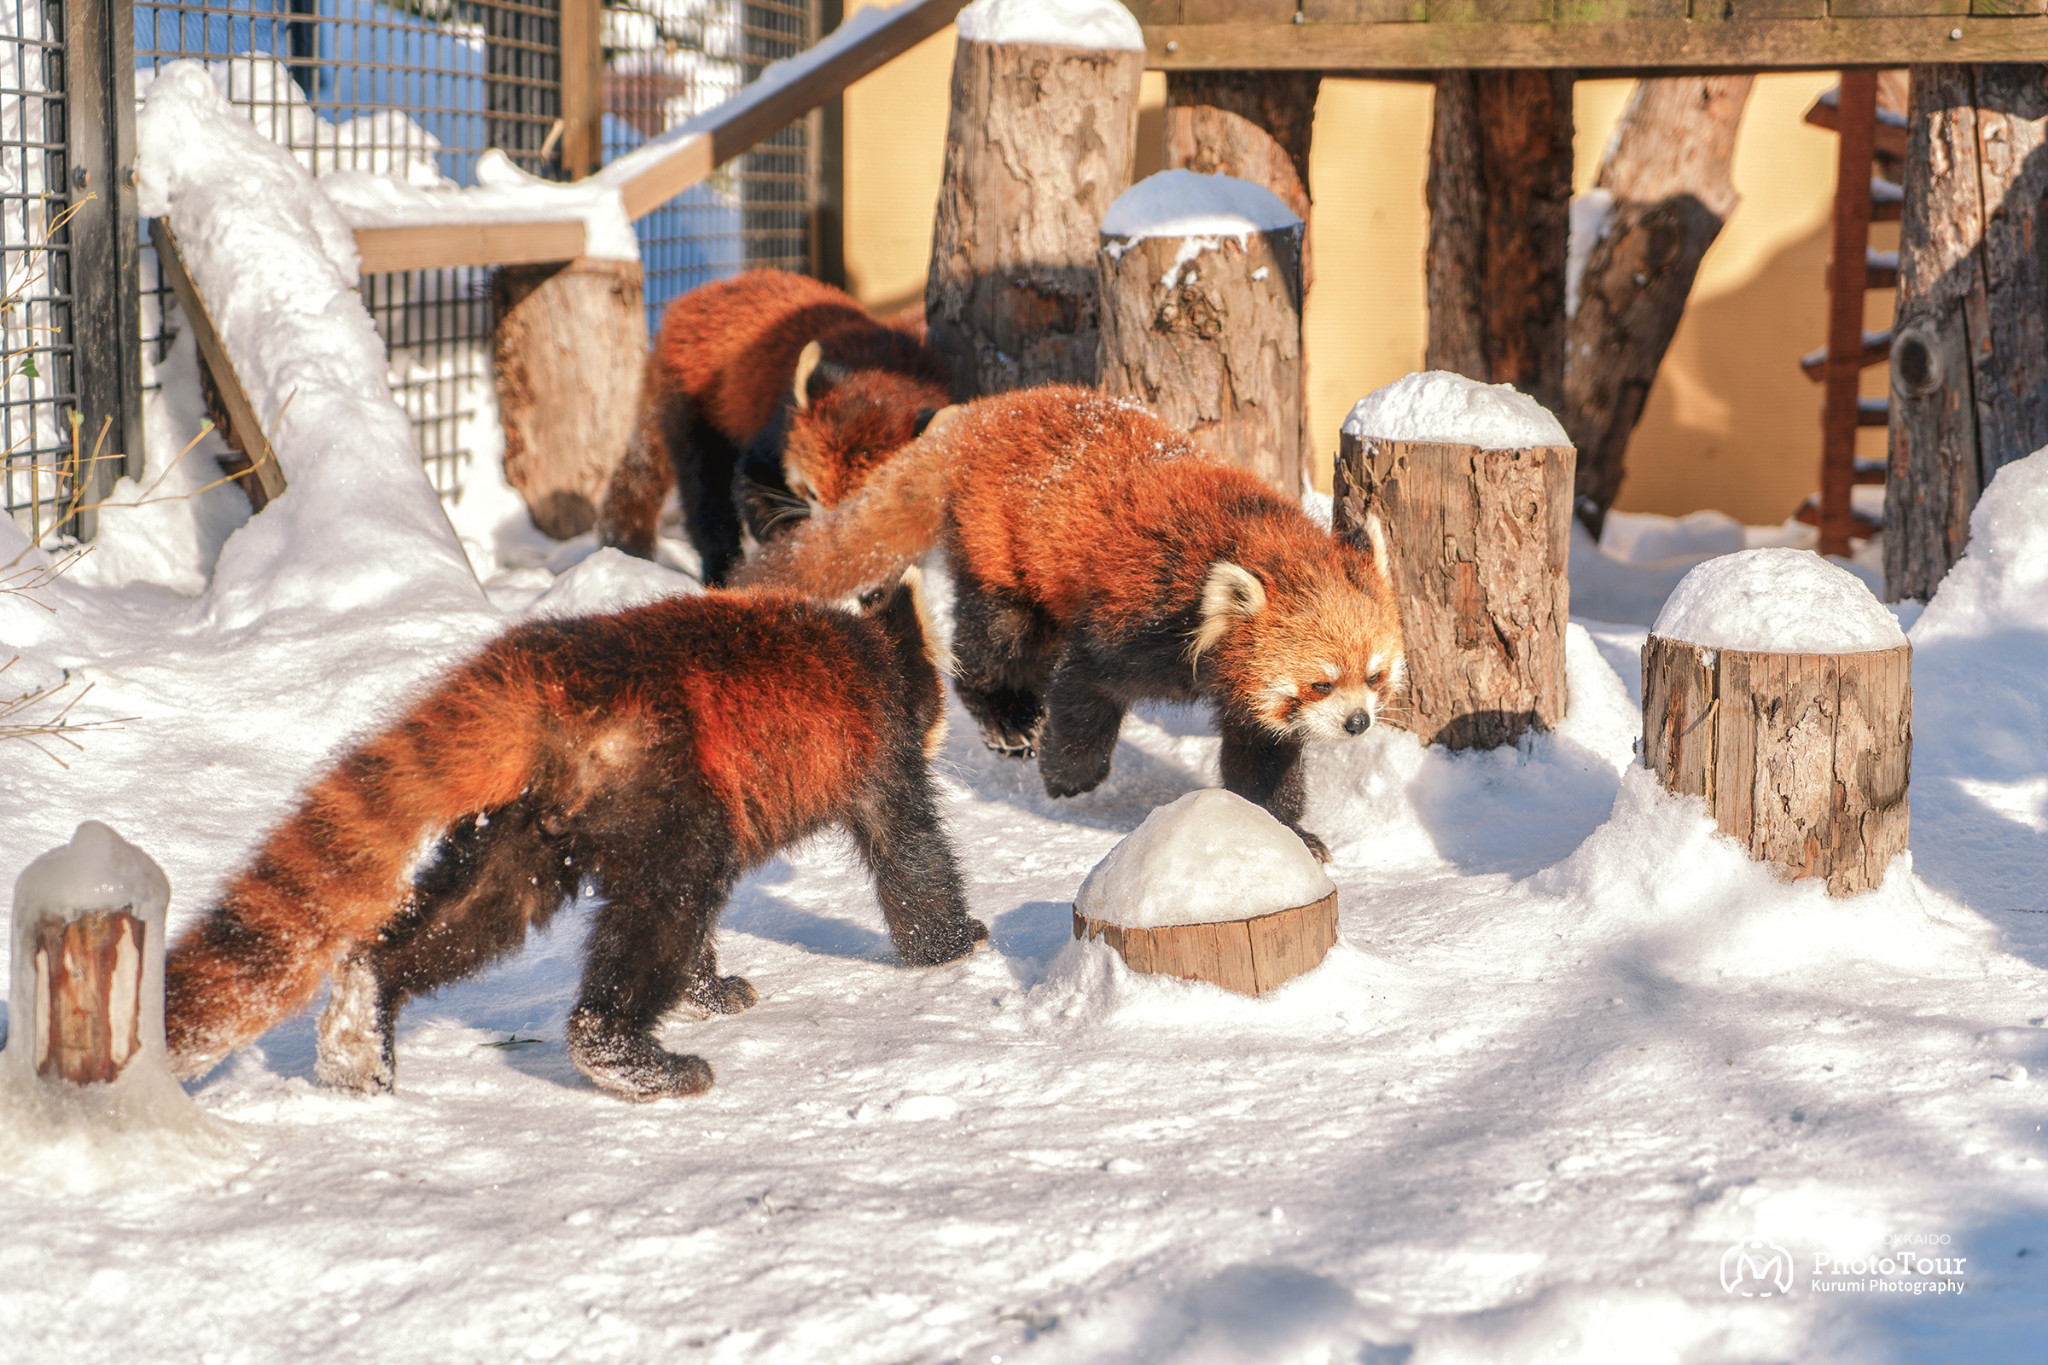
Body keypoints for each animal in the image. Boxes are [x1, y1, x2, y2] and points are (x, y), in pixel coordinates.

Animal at [589, 270, 946, 585]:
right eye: (812, 492)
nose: (830, 534)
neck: (887, 370)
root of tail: (693, 298)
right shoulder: (778, 425)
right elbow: (752, 485)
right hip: (697, 403)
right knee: (706, 496)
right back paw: (721, 573)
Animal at [733, 386, 1409, 855]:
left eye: (1375, 676)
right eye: (1320, 682)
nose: (1357, 722)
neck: (1253, 538)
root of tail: (986, 410)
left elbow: (1262, 754)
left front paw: (1288, 831)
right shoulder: (1141, 614)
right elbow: (1087, 684)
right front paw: (1069, 775)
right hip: (1000, 544)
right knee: (996, 642)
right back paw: (1009, 719)